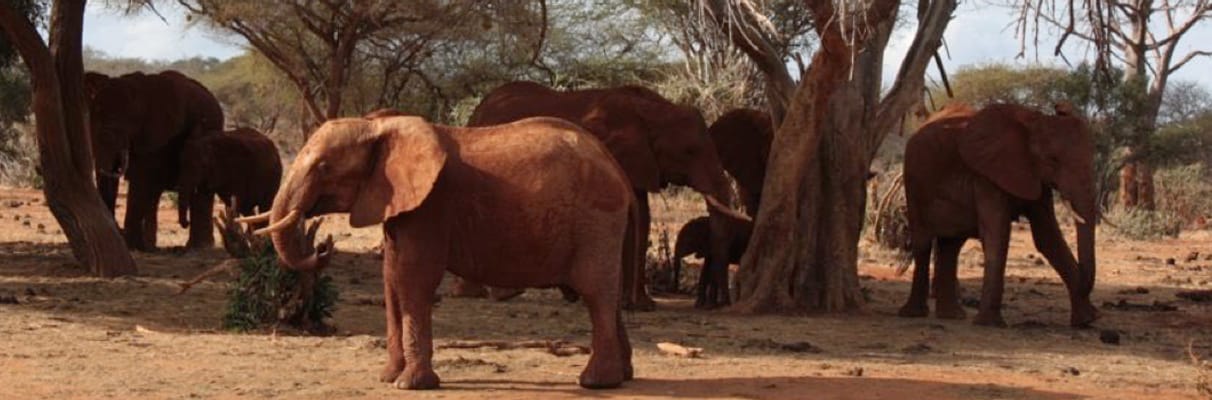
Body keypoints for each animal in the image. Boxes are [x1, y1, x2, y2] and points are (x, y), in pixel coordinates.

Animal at [86, 70, 224, 251]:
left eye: (125, 127)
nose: (118, 230)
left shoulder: (157, 135)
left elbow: (141, 179)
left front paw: (132, 246)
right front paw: (138, 246)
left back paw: (198, 247)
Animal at [247, 116, 638, 390]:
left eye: (324, 167)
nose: (323, 245)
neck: (376, 125)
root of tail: (618, 169)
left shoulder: (430, 207)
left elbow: (413, 279)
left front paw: (410, 385)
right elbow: (391, 281)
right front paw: (387, 378)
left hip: (596, 219)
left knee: (595, 292)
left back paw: (595, 382)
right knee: (611, 291)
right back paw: (623, 377)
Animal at [457, 81, 738, 310]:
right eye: (689, 151)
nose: (721, 304)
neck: (653, 110)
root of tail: (476, 112)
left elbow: (642, 214)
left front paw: (643, 306)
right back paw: (494, 294)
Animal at [897, 102, 1100, 328]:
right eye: (1052, 160)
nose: (1061, 107)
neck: (1033, 121)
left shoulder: (1033, 176)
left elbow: (1047, 237)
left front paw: (1087, 320)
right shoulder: (987, 176)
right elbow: (998, 232)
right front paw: (989, 323)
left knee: (951, 245)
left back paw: (952, 315)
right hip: (914, 182)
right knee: (923, 241)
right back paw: (914, 314)